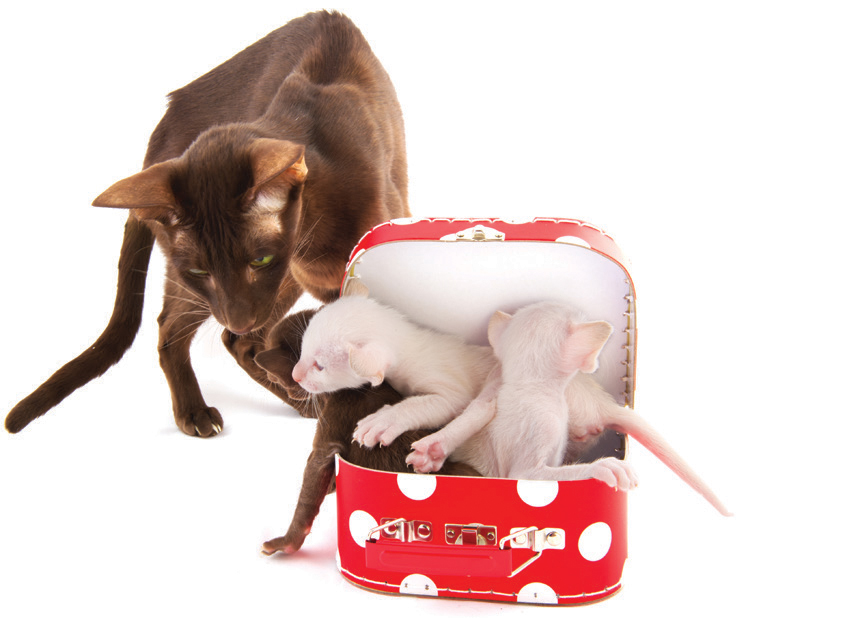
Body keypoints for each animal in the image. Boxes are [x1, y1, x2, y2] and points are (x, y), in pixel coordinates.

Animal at [5, 11, 408, 437]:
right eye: (201, 270)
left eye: (260, 261)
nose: (239, 317)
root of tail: (162, 131)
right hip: (221, 296)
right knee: (183, 330)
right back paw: (199, 412)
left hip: (270, 293)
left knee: (241, 342)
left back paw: (298, 400)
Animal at [290, 292, 496, 448]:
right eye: (303, 346)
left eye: (320, 366)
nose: (295, 376)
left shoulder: (449, 385)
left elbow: (432, 402)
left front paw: (385, 420)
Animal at [409, 301, 732, 515]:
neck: (527, 384)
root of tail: (600, 402)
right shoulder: (544, 426)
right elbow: (527, 473)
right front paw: (602, 467)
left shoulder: (495, 385)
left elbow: (479, 409)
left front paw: (433, 449)